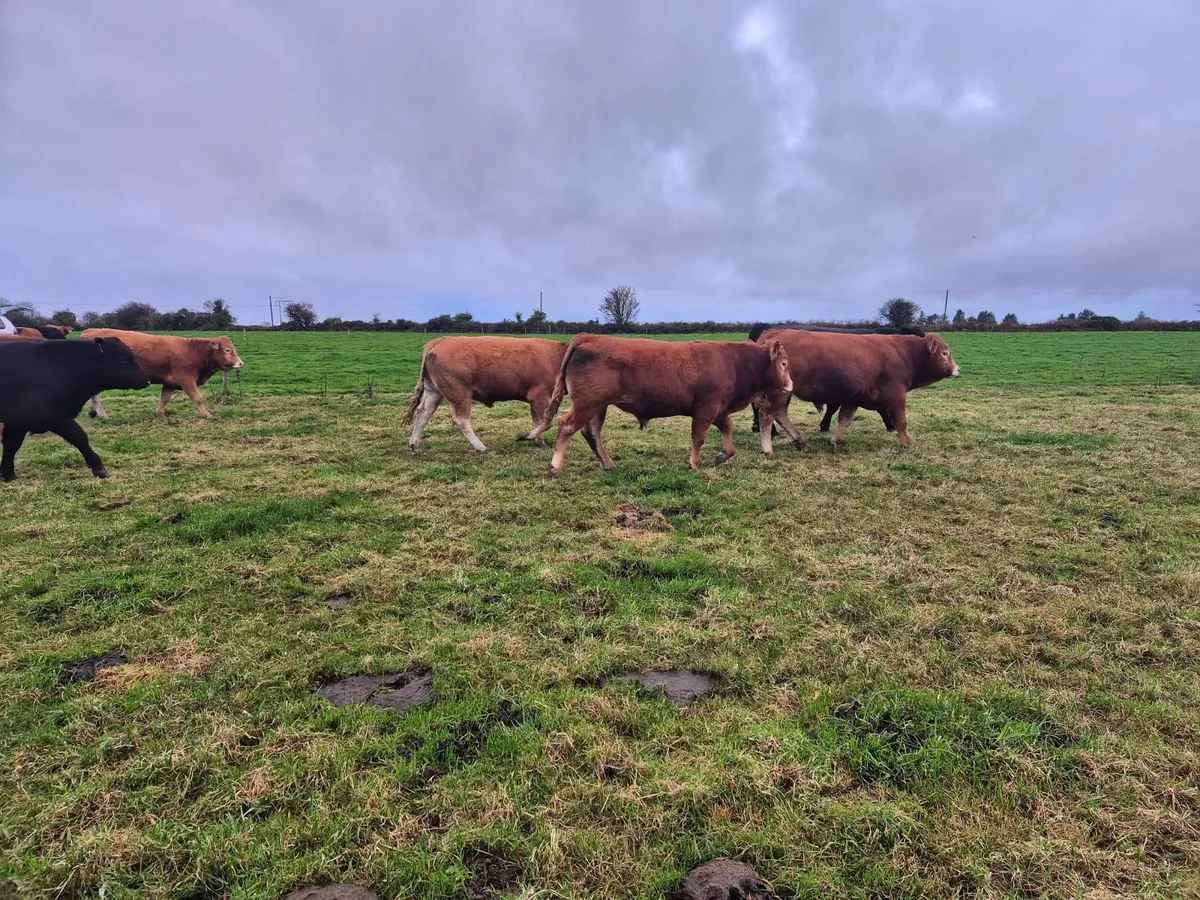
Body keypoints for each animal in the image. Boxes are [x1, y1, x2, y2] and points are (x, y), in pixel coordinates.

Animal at [0, 337, 150, 480]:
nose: (147, 381)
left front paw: (8, 474)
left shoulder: (18, 422)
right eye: (123, 360)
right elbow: (79, 437)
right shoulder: (53, 416)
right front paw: (99, 468)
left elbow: (11, 445)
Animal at [79, 329, 243, 420]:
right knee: (95, 397)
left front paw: (159, 414)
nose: (240, 363)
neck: (193, 351)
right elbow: (198, 399)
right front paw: (207, 415)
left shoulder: (170, 383)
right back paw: (103, 415)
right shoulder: (187, 380)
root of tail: (88, 332)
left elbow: (164, 399)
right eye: (227, 350)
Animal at [402, 336, 569, 452]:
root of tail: (440, 341)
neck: (558, 355)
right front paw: (529, 437)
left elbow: (538, 422)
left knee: (423, 412)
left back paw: (413, 443)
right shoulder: (540, 398)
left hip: (434, 391)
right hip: (460, 395)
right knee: (460, 420)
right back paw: (480, 447)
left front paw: (538, 441)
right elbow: (546, 422)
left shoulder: (535, 401)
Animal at [519, 334, 792, 475]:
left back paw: (609, 464)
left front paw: (722, 455)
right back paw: (555, 466)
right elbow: (699, 437)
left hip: (597, 406)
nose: (790, 384)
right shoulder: (706, 408)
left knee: (591, 433)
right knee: (567, 427)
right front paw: (694, 463)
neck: (733, 361)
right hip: (588, 402)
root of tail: (590, 337)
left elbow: (728, 430)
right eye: (784, 363)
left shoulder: (718, 409)